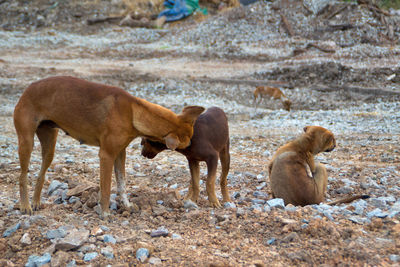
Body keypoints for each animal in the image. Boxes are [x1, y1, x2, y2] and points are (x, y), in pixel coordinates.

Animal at [14, 75, 205, 218]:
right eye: (184, 146)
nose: (194, 148)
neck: (134, 111)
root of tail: (28, 88)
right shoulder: (106, 155)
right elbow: (106, 188)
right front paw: (105, 213)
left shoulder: (120, 154)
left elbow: (122, 184)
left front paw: (126, 206)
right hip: (26, 142)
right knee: (22, 176)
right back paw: (25, 205)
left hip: (49, 146)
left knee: (41, 174)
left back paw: (36, 202)